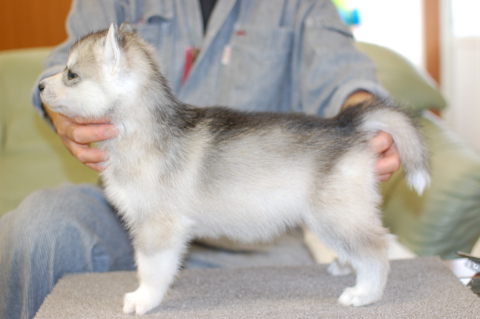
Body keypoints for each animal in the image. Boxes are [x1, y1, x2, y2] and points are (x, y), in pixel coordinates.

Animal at [37, 23, 428, 316]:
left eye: (71, 74)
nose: (39, 85)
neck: (143, 128)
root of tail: (347, 123)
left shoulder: (159, 226)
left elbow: (150, 267)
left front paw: (143, 299)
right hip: (332, 217)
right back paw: (345, 266)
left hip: (334, 214)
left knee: (377, 248)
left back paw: (364, 292)